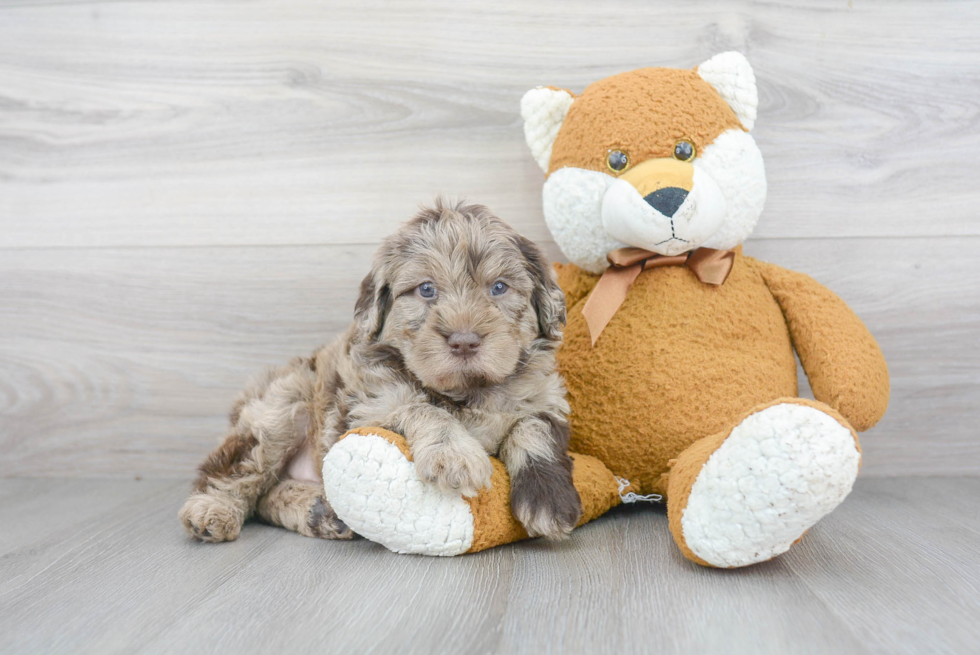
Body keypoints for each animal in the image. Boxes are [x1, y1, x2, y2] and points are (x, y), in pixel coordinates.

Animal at [180, 200, 580, 544]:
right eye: (426, 289)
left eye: (499, 287)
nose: (464, 341)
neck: (467, 391)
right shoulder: (369, 407)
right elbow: (420, 407)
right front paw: (454, 454)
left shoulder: (546, 398)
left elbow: (533, 428)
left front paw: (549, 500)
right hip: (281, 407)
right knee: (235, 471)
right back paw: (212, 510)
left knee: (266, 497)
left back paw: (319, 511)